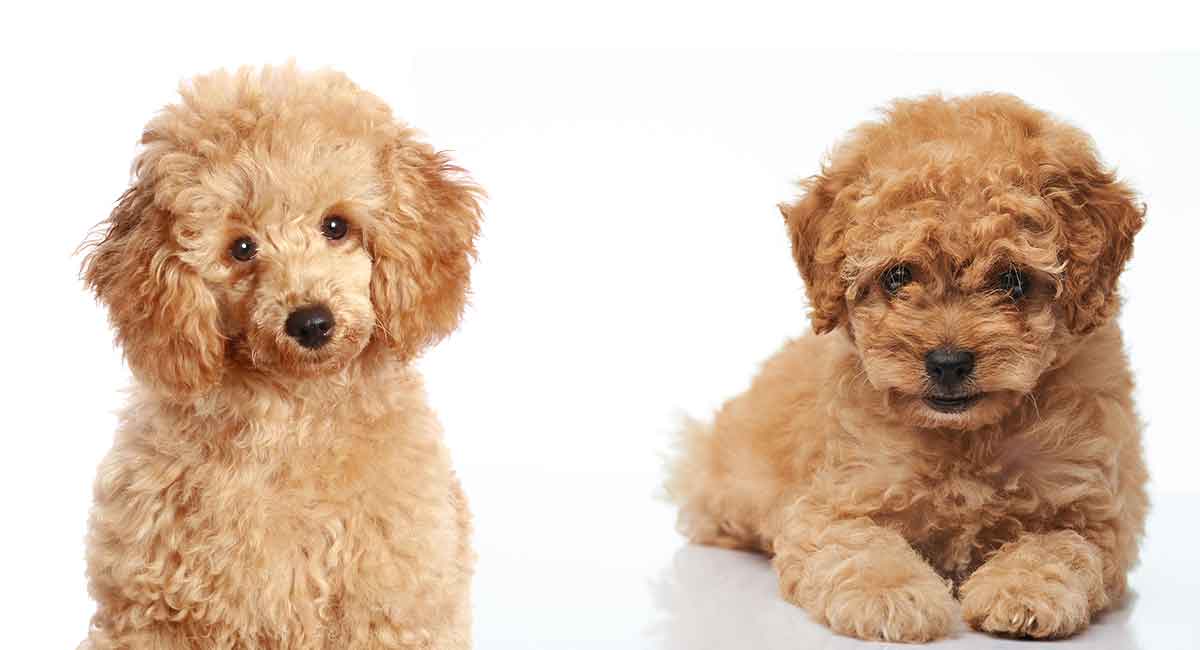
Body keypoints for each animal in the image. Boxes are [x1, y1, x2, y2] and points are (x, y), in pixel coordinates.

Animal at [79, 67, 480, 650]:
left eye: (336, 226)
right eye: (241, 248)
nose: (310, 323)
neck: (293, 415)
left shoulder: (390, 604)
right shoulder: (152, 608)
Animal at [672, 94, 1147, 642]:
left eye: (1012, 280)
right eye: (898, 276)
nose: (948, 362)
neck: (963, 438)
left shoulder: (1093, 511)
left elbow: (1061, 547)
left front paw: (1024, 590)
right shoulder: (832, 502)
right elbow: (857, 546)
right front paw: (892, 595)